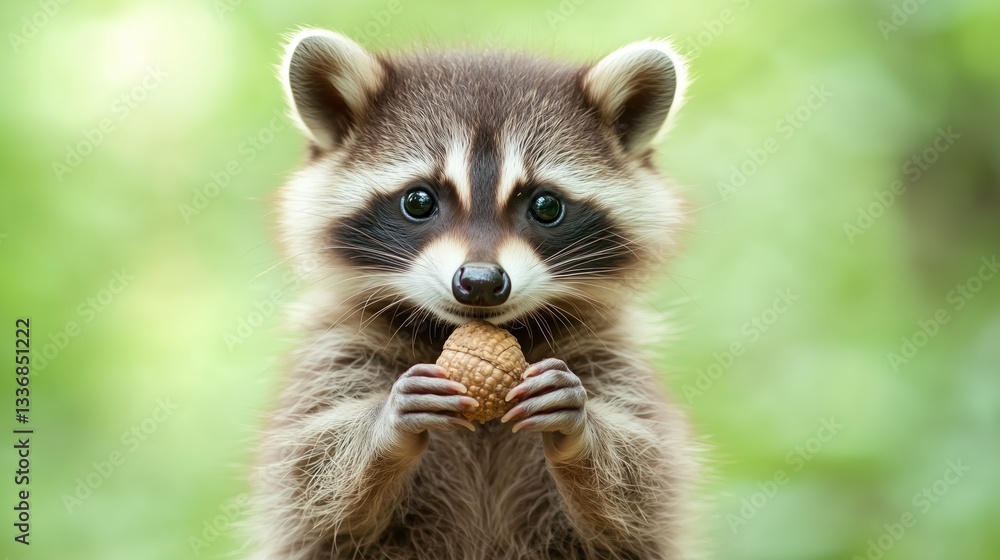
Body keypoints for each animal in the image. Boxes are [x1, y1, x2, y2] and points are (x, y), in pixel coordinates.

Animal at [249, 28, 696, 560]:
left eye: (546, 205)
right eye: (419, 200)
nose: (481, 282)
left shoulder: (608, 355)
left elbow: (643, 490)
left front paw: (582, 430)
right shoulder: (337, 351)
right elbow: (311, 480)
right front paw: (383, 424)